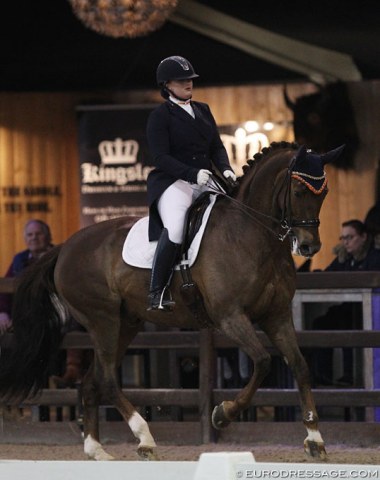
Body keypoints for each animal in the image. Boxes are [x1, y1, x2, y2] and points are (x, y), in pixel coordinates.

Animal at [0, 142, 344, 462]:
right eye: (298, 191)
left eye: (324, 192)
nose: (310, 247)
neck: (250, 235)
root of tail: (65, 247)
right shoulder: (230, 316)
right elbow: (262, 361)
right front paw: (223, 413)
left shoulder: (277, 316)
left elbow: (300, 366)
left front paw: (314, 438)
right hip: (102, 319)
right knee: (108, 380)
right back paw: (145, 438)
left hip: (126, 323)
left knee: (90, 382)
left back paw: (97, 450)